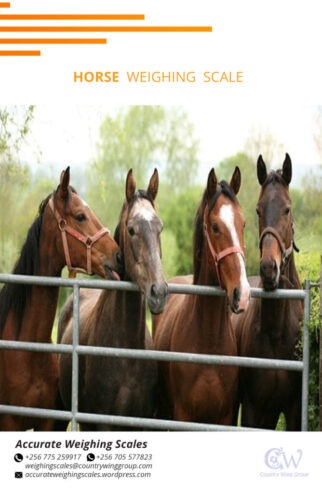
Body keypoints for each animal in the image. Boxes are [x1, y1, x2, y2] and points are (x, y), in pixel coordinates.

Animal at [152, 166, 250, 422]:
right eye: (215, 227)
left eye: (243, 224)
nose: (243, 293)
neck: (209, 343)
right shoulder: (182, 415)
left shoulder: (225, 417)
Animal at [235, 155, 304, 430]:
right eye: (258, 209)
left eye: (287, 209)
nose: (268, 268)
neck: (275, 331)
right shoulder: (253, 409)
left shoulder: (294, 410)